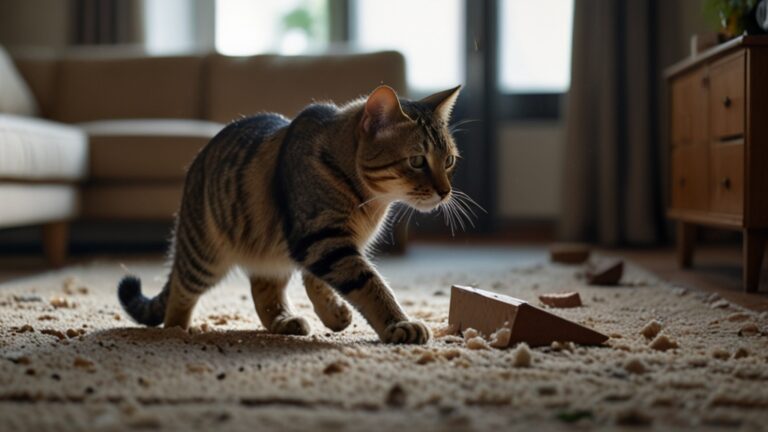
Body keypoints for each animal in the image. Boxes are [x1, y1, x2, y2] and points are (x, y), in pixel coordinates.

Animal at [118, 85, 464, 344]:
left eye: (448, 161)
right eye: (417, 161)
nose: (446, 191)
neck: (370, 202)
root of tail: (195, 165)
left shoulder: (320, 243)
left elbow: (317, 282)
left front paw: (334, 314)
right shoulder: (323, 239)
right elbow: (370, 285)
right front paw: (398, 324)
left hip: (271, 252)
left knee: (263, 291)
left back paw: (285, 321)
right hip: (203, 255)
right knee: (180, 289)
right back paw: (177, 329)